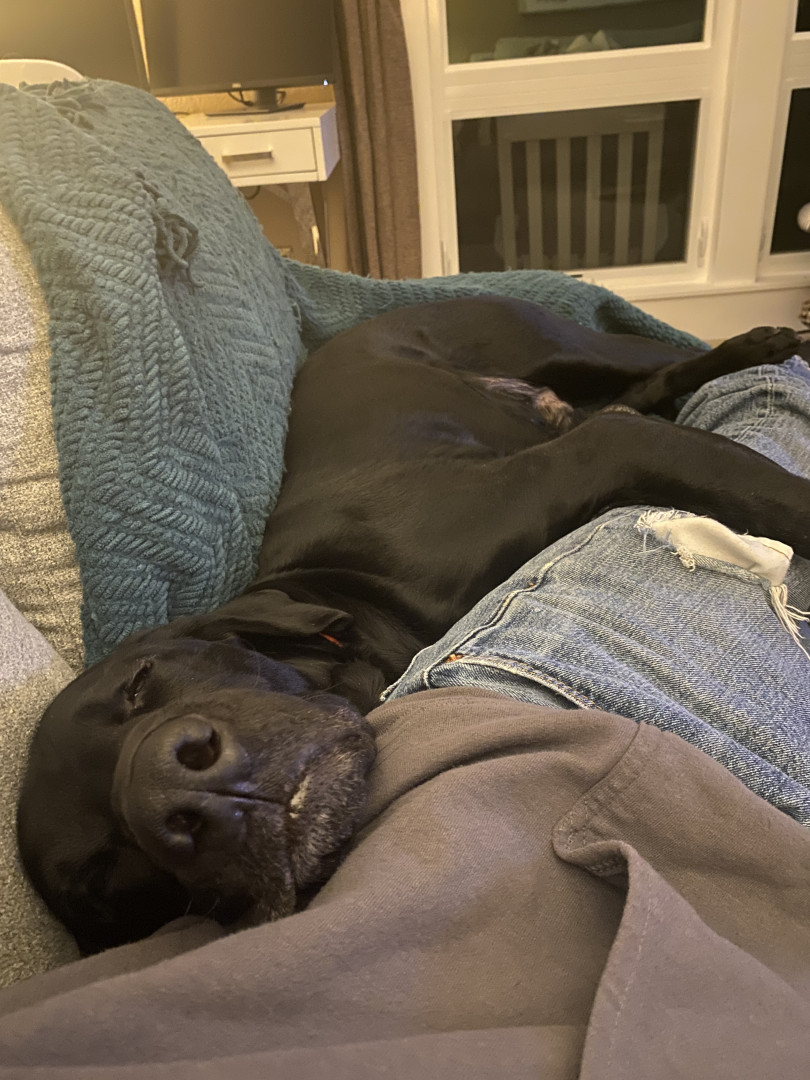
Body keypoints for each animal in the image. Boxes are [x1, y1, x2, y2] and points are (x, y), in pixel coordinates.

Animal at [17, 296, 810, 955]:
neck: (356, 594)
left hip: (561, 341)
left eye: (140, 681)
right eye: (103, 874)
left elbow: (766, 488)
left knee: (653, 361)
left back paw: (764, 339)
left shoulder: (588, 459)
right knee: (642, 395)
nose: (178, 796)